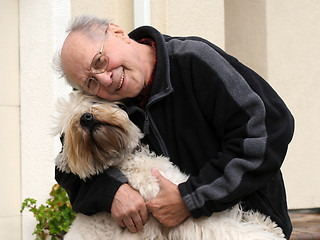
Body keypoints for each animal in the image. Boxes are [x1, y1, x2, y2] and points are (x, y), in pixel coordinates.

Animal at [53, 92, 286, 240]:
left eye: (92, 100)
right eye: (68, 124)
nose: (85, 118)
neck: (127, 161)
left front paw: (266, 224)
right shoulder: (187, 218)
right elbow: (233, 228)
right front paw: (268, 230)